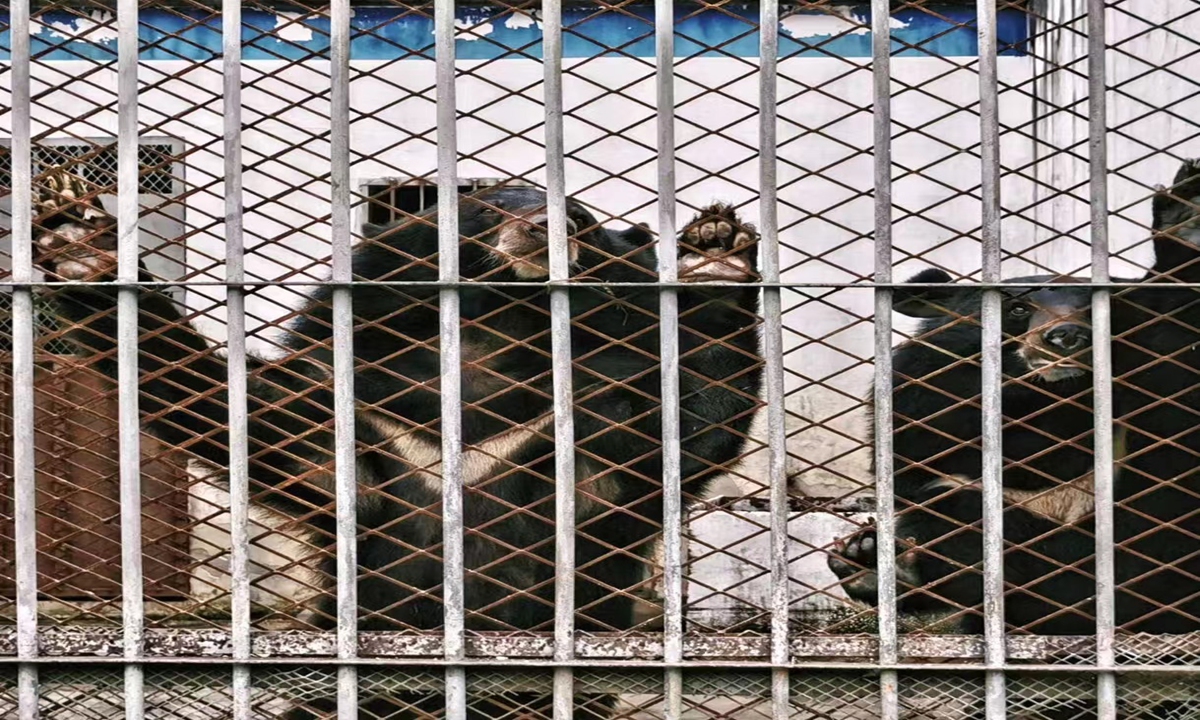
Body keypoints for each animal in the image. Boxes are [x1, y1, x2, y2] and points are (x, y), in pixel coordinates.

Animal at [30, 170, 768, 720]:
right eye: (488, 206)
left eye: (582, 221)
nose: (545, 228)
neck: (490, 339)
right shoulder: (367, 415)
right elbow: (237, 414)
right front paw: (77, 239)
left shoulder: (582, 425)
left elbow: (683, 432)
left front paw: (717, 258)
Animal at [830, 157, 1200, 643]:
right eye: (1019, 309)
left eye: (1092, 310)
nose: (1066, 336)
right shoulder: (928, 383)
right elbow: (928, 429)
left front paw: (1187, 223)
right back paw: (870, 562)